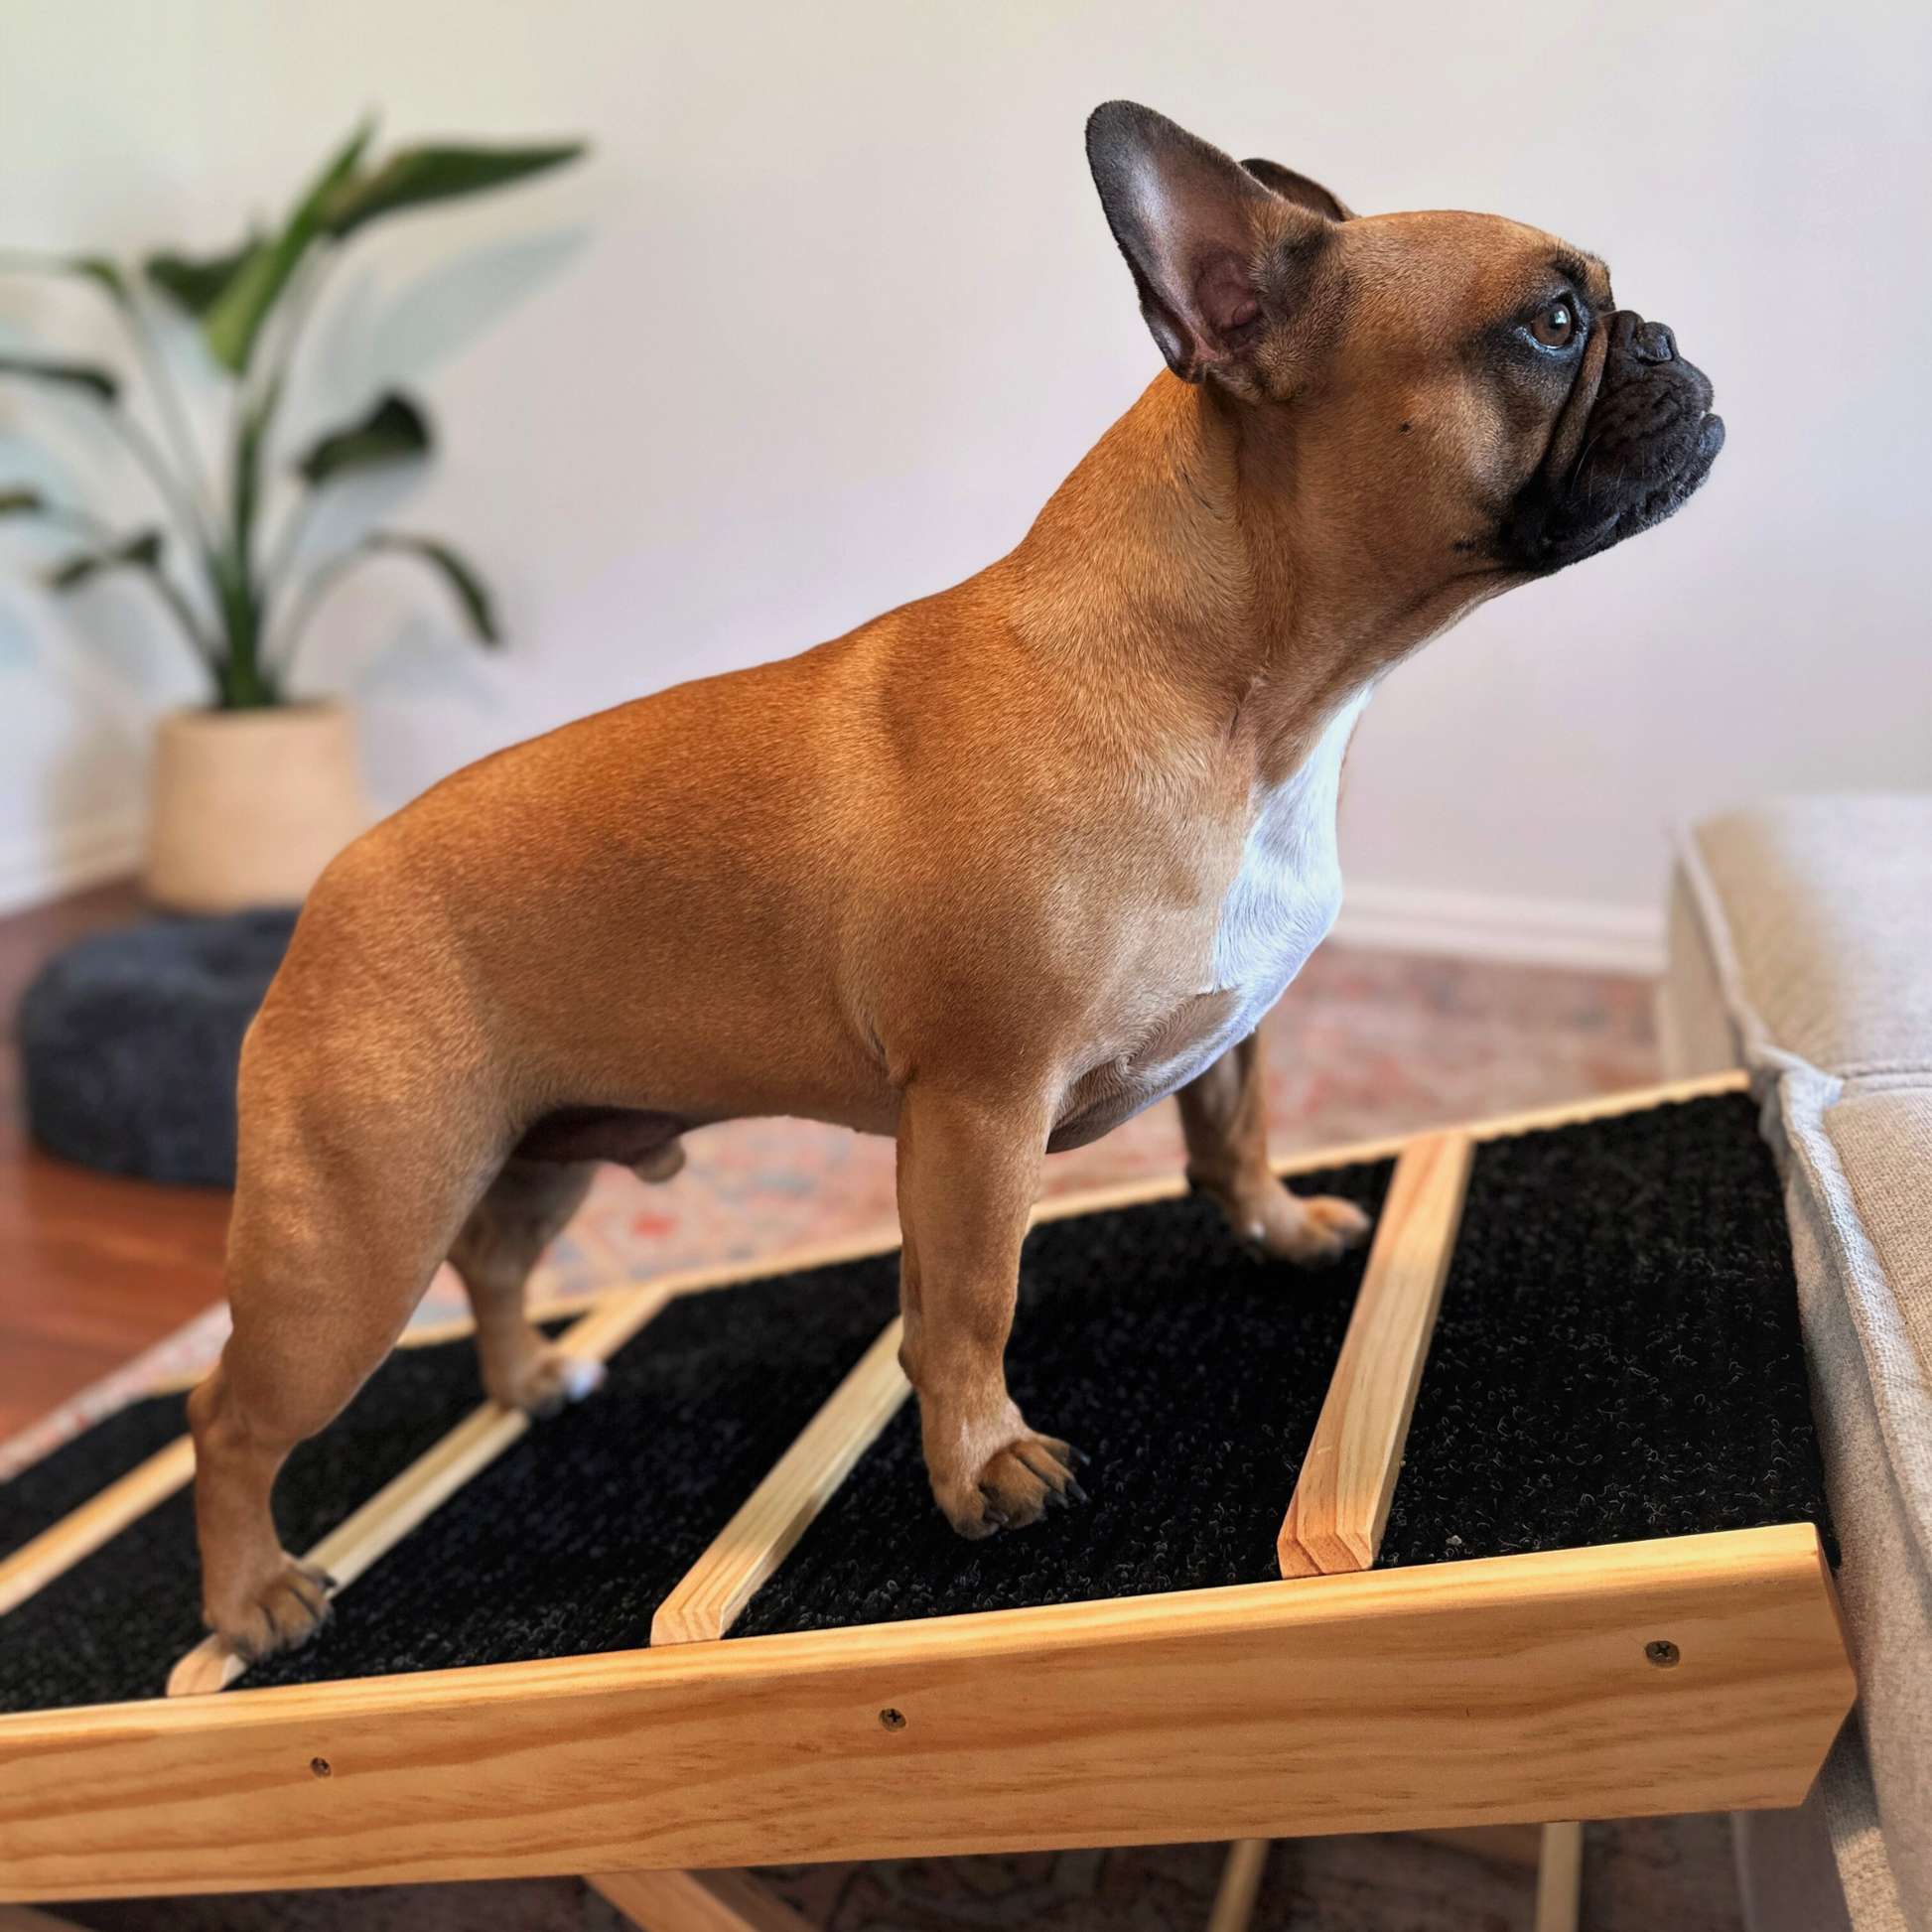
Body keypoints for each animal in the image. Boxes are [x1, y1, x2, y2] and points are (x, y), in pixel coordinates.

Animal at [184, 105, 1723, 1677]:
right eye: (1548, 323)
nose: (1670, 341)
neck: (1248, 693)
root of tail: (333, 888)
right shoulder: (982, 1107)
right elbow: (971, 1302)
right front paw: (982, 1464)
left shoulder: (1221, 1029)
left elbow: (1232, 1129)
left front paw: (1279, 1226)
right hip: (355, 1241)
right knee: (227, 1415)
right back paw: (250, 1593)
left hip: (535, 1155)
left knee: (495, 1263)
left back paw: (526, 1376)